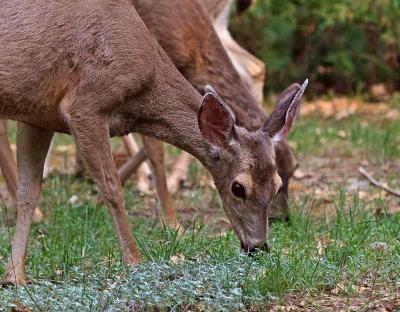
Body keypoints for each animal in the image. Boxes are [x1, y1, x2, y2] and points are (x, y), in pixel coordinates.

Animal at [0, 0, 308, 286]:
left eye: (278, 184)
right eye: (238, 188)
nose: (259, 247)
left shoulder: (38, 113)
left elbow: (30, 191)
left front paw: (15, 276)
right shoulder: (84, 105)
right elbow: (113, 187)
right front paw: (135, 260)